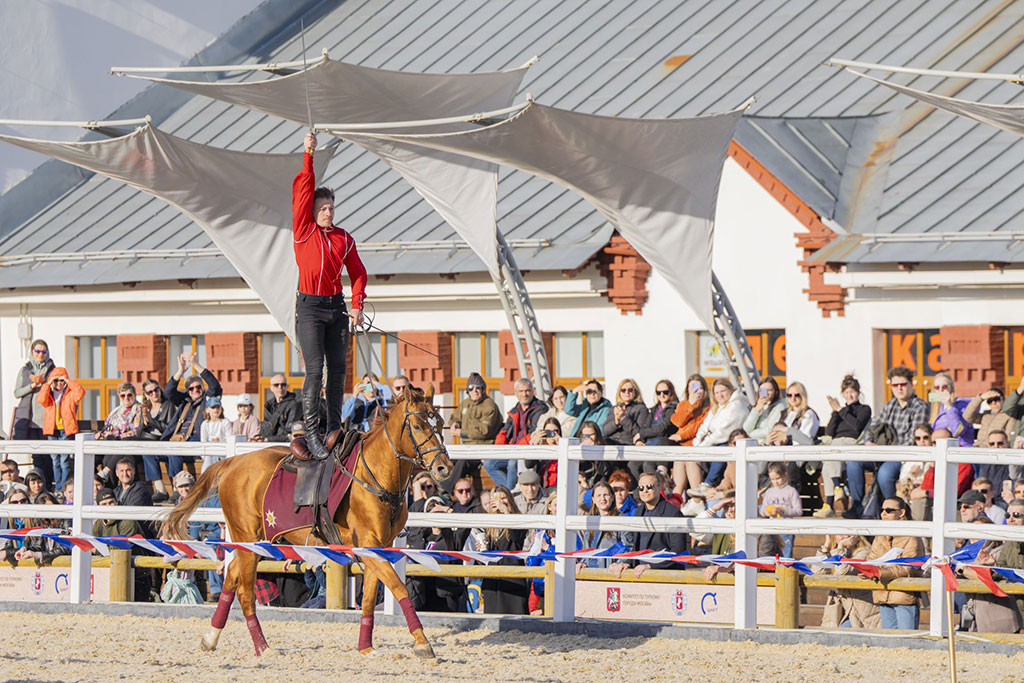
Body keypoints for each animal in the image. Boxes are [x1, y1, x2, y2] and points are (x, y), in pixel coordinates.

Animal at [164, 385, 452, 655]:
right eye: (417, 425)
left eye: (439, 423)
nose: (444, 467)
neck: (373, 474)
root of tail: (233, 463)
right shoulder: (369, 545)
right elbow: (400, 589)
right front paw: (422, 642)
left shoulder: (378, 547)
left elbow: (371, 597)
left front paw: (366, 647)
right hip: (247, 539)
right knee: (245, 593)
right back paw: (262, 647)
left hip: (254, 542)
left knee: (231, 578)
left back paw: (211, 637)